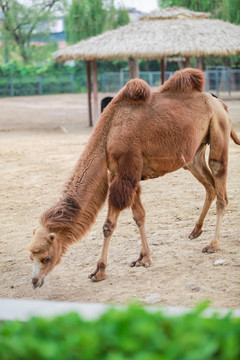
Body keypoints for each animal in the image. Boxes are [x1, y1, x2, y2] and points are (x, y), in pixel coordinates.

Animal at [29, 67, 239, 288]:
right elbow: (139, 216)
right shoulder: (126, 176)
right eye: (30, 256)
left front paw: (99, 271)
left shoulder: (125, 176)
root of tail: (220, 103)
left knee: (220, 185)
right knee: (210, 186)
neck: (108, 135)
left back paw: (213, 244)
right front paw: (143, 258)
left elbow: (108, 226)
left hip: (219, 131)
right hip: (194, 155)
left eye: (45, 258)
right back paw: (195, 231)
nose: (35, 281)